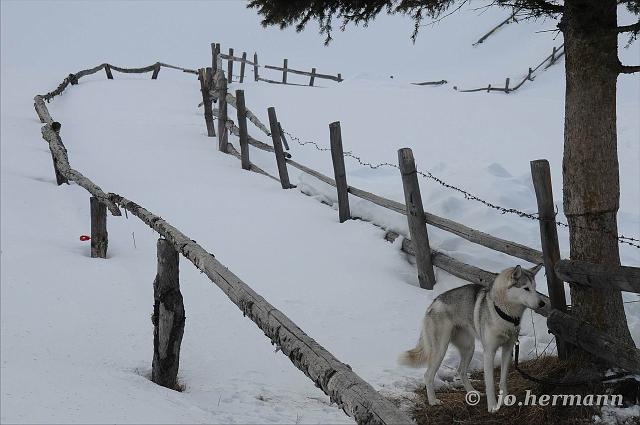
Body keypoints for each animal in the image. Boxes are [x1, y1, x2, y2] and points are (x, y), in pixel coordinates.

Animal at [400, 264, 544, 412]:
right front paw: (493, 406)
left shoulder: (508, 350)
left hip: (469, 348)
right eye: (526, 288)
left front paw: (505, 400)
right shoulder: (489, 352)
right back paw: (433, 401)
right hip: (440, 350)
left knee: (461, 371)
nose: (542, 303)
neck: (504, 313)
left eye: (535, 288)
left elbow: (503, 381)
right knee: (428, 375)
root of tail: (434, 303)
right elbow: (490, 383)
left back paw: (472, 392)